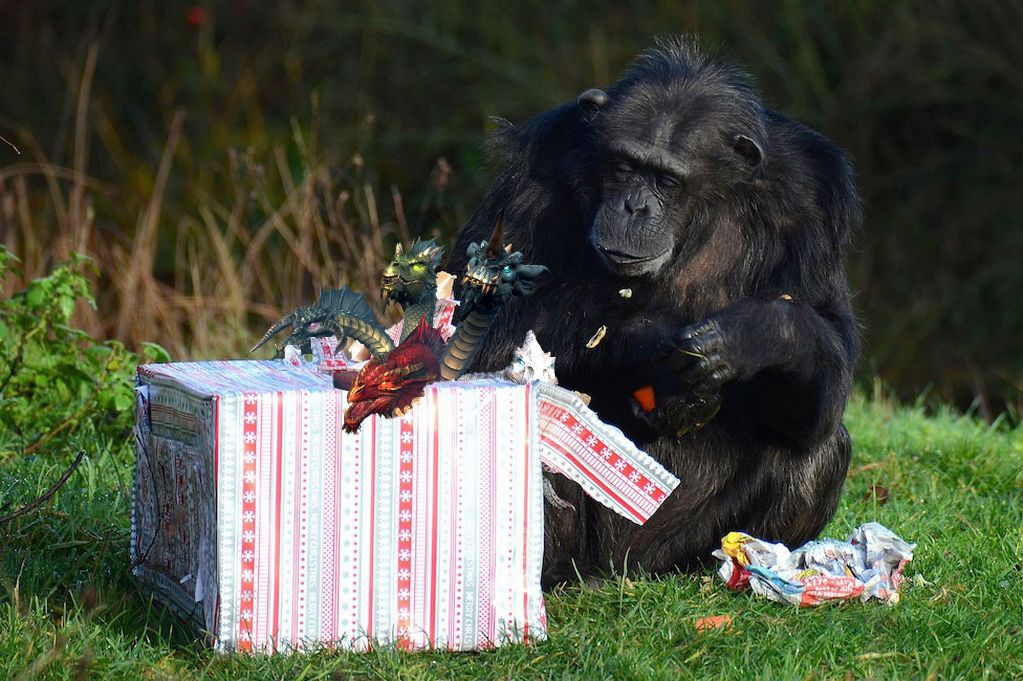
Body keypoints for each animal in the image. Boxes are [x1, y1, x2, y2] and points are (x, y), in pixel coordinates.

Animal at [452, 35, 859, 584]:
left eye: (667, 180)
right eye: (625, 166)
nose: (634, 206)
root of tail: (621, 571)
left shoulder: (813, 199)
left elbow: (829, 340)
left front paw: (759, 334)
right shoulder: (537, 161)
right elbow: (471, 318)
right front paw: (648, 338)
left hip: (667, 549)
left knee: (818, 444)